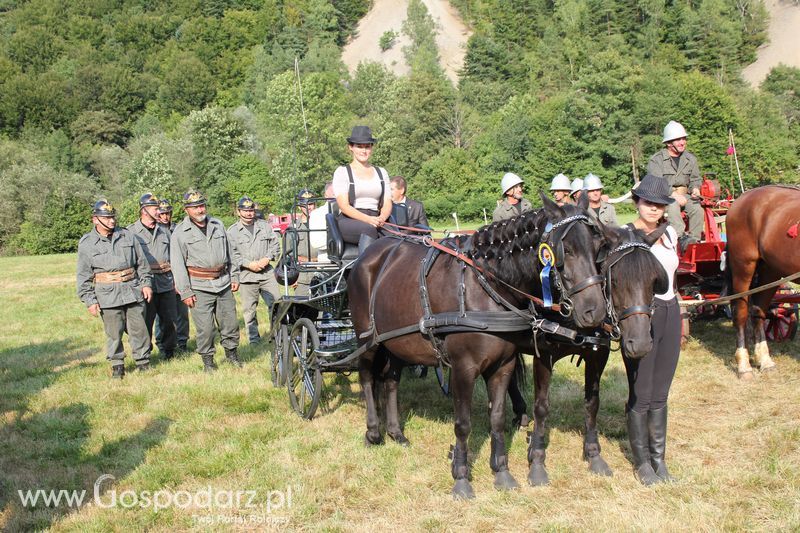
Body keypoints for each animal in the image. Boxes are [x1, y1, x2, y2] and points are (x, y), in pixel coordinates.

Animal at [724, 185, 800, 376]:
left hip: (769, 272)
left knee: (759, 312)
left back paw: (765, 361)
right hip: (743, 267)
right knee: (741, 313)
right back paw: (744, 365)